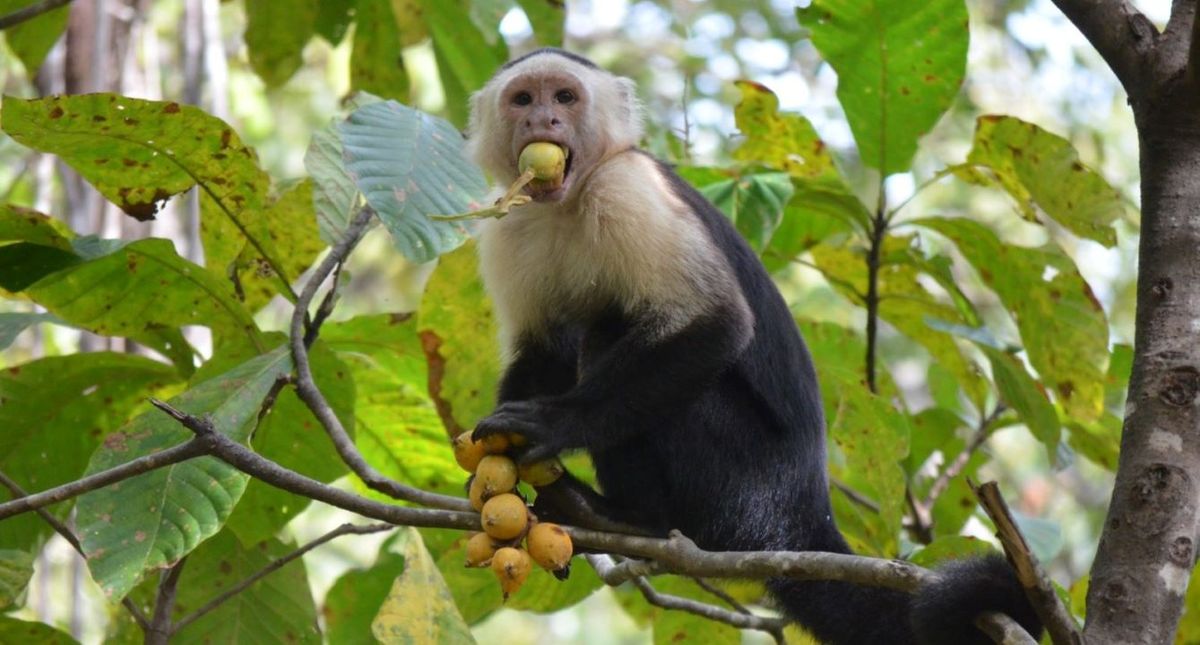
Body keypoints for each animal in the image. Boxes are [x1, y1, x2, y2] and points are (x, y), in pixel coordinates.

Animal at [468, 48, 1041, 642]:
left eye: (564, 97)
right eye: (523, 99)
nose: (544, 120)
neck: (568, 200)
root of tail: (803, 514)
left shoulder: (627, 188)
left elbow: (718, 324)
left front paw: (557, 423)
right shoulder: (508, 223)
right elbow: (542, 351)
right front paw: (493, 458)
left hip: (746, 485)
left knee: (616, 334)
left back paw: (629, 517)